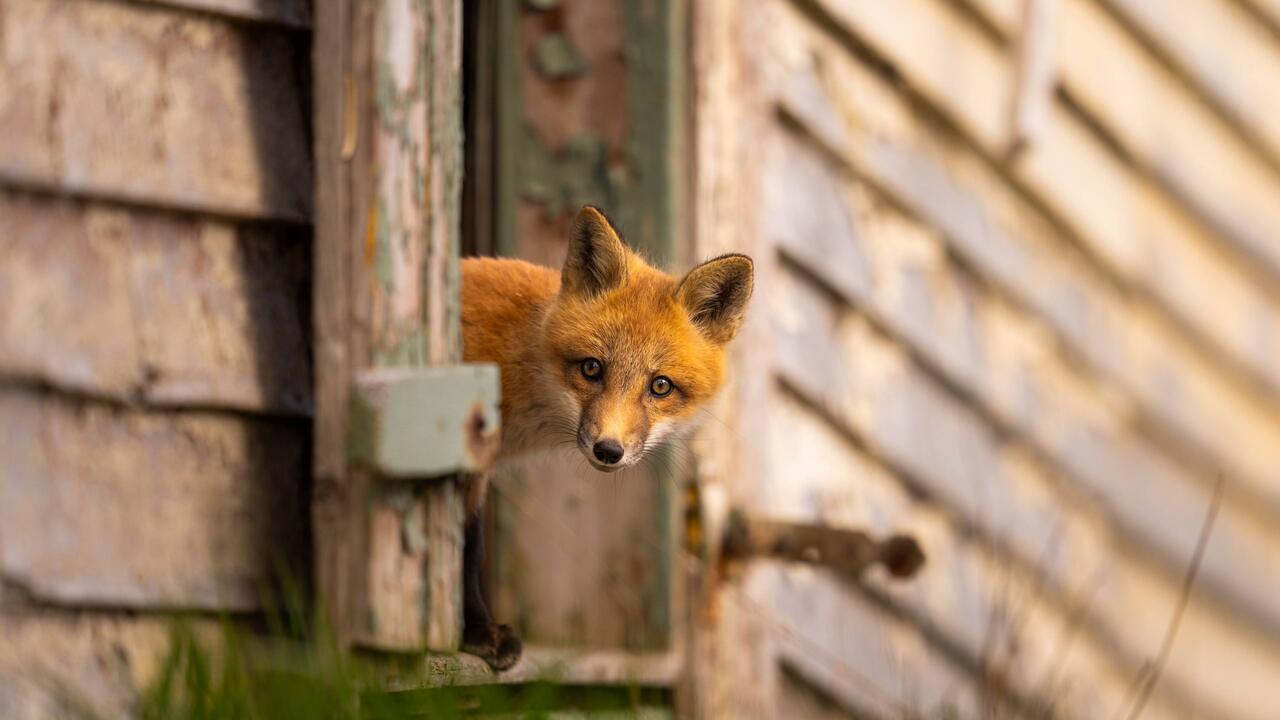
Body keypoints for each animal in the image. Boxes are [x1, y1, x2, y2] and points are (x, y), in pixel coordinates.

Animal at [459, 205, 753, 670]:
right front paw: (475, 633)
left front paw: (474, 630)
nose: (608, 450)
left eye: (660, 386)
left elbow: (469, 546)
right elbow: (465, 548)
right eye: (592, 368)